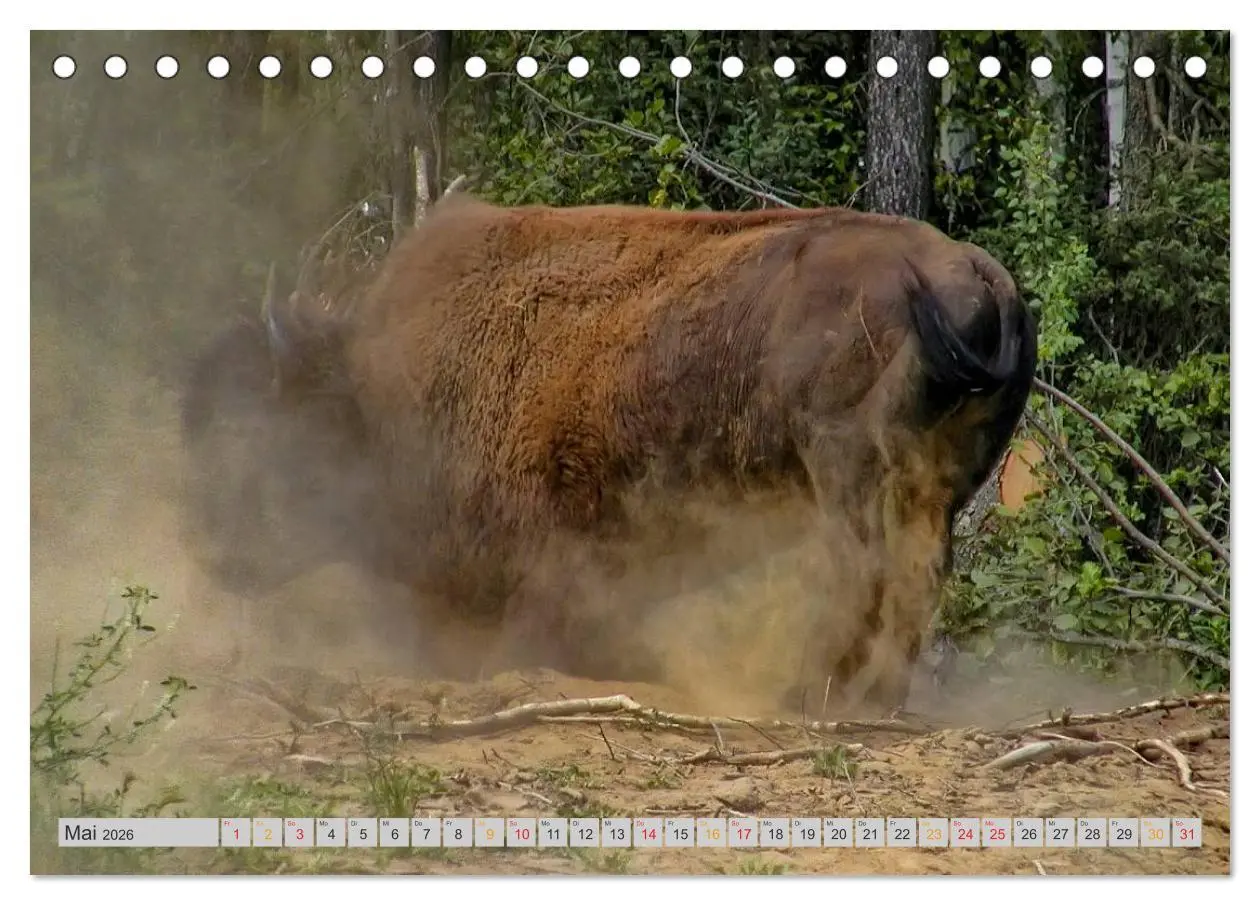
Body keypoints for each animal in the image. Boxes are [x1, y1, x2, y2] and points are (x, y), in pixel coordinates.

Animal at [180, 197, 1036, 713]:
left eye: (258, 426)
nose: (213, 551)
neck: (372, 389)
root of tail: (976, 278)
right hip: (941, 482)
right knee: (919, 573)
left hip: (844, 467)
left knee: (864, 568)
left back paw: (806, 692)